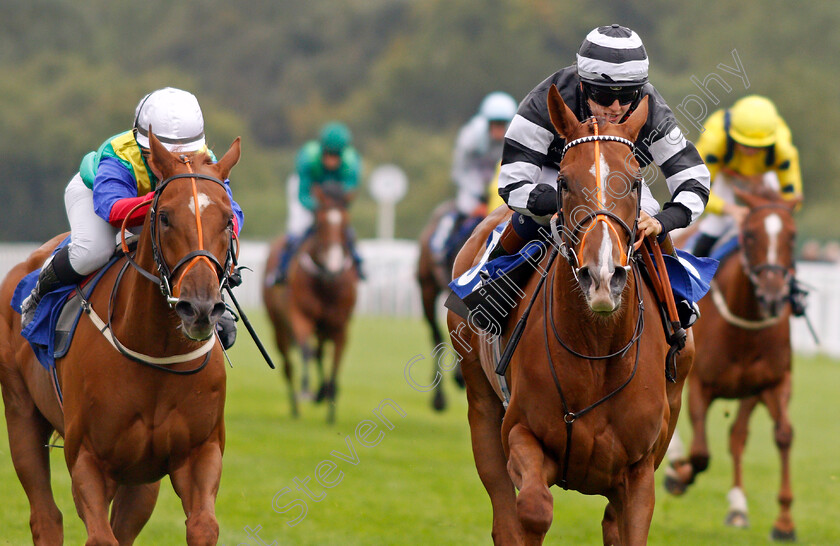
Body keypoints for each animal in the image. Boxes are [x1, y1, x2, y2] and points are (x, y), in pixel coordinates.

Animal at [0, 130, 243, 540]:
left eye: (228, 220)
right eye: (164, 216)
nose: (200, 307)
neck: (156, 352)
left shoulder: (198, 453)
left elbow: (203, 526)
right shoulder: (89, 460)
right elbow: (100, 535)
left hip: (141, 480)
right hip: (22, 414)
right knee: (46, 518)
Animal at [262, 183, 354, 420]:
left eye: (346, 223)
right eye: (320, 224)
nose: (334, 264)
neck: (326, 283)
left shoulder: (340, 325)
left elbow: (335, 361)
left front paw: (330, 404)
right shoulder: (299, 316)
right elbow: (305, 351)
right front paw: (307, 391)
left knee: (319, 353)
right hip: (279, 327)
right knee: (289, 365)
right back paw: (296, 407)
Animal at [450, 83, 692, 540]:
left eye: (635, 182)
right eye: (562, 182)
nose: (602, 276)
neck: (598, 350)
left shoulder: (639, 469)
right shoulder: (522, 434)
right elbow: (532, 511)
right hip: (481, 405)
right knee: (502, 505)